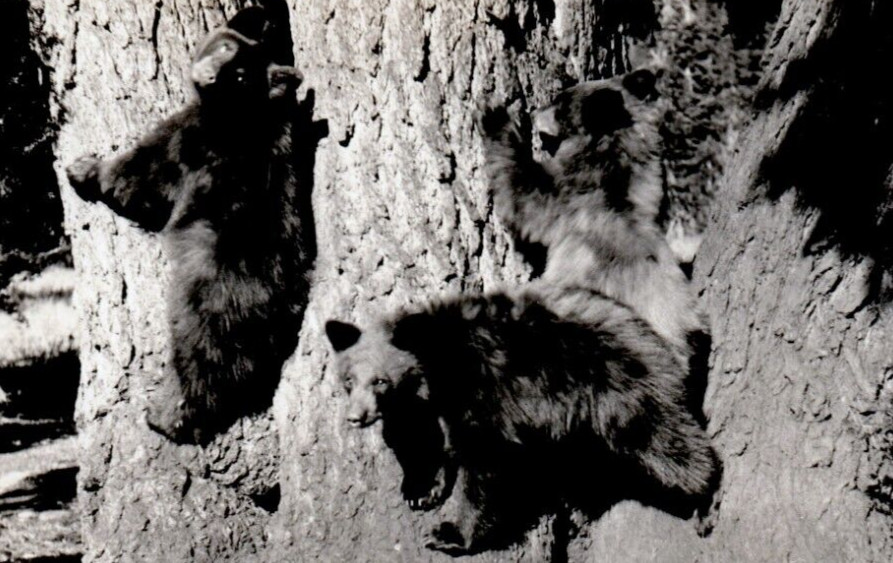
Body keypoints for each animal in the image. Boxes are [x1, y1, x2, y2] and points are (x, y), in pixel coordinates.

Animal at [65, 5, 316, 445]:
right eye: (226, 47)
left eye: (240, 75)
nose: (209, 74)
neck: (242, 113)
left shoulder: (189, 138)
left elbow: (141, 174)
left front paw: (86, 170)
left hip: (210, 296)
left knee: (203, 351)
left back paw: (169, 415)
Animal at [325, 284, 718, 555]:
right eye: (349, 380)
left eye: (380, 381)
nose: (355, 417)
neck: (438, 364)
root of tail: (650, 331)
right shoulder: (429, 405)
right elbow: (427, 437)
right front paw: (420, 489)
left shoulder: (484, 389)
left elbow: (486, 460)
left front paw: (451, 534)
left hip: (622, 393)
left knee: (669, 446)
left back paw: (705, 502)